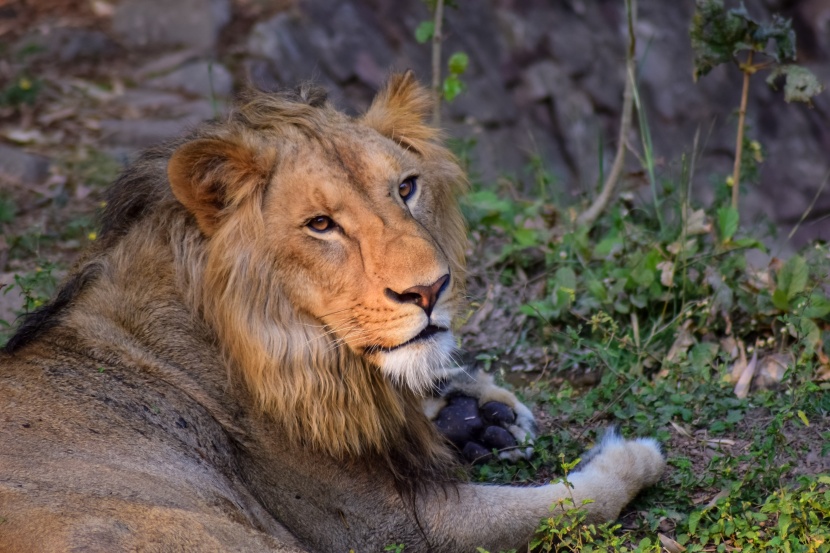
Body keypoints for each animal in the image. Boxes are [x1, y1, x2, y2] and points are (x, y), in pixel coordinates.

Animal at [0, 73, 664, 552]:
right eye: (321, 225)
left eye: (406, 188)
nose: (432, 289)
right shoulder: (394, 526)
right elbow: (567, 503)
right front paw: (633, 454)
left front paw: (479, 415)